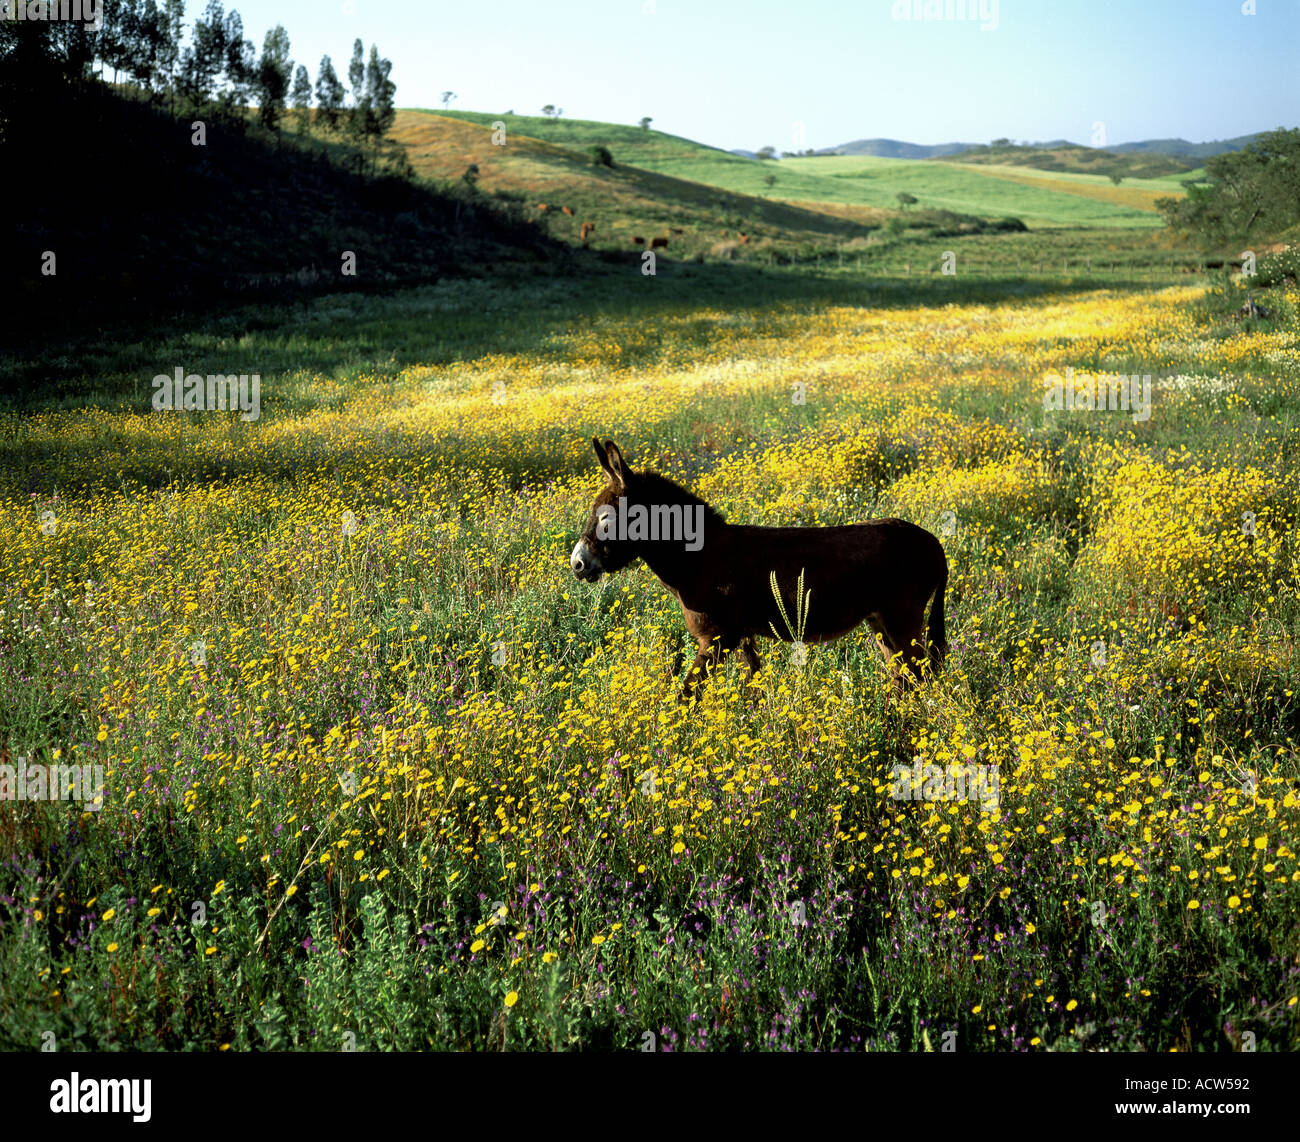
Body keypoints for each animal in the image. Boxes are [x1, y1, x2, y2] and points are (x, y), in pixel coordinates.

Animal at [574, 439, 951, 702]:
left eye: (606, 517)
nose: (576, 564)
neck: (700, 556)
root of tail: (933, 541)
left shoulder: (717, 637)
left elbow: (686, 696)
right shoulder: (742, 637)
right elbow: (752, 687)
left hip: (902, 619)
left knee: (921, 678)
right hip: (881, 624)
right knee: (905, 680)